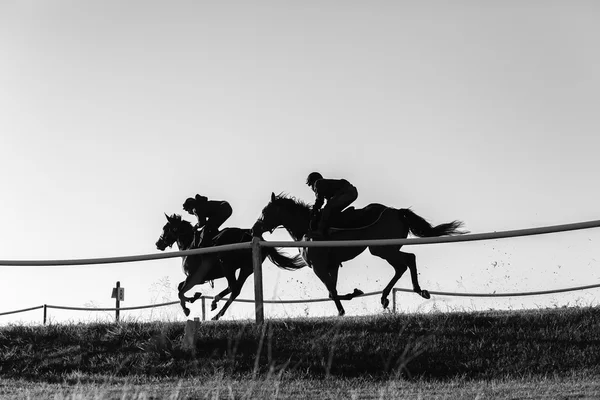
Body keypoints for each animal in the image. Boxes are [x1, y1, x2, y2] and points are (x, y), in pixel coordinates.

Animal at [156, 214, 304, 320]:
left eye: (165, 228)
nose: (158, 244)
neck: (189, 245)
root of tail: (258, 239)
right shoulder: (197, 278)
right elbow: (180, 288)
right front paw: (194, 298)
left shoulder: (195, 277)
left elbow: (180, 291)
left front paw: (188, 306)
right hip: (246, 268)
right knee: (235, 289)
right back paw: (215, 305)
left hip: (227, 265)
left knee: (233, 287)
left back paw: (216, 314)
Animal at [251, 192, 466, 318]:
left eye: (266, 212)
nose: (255, 228)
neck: (307, 229)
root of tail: (397, 211)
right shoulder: (332, 265)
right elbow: (332, 290)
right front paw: (353, 294)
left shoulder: (318, 266)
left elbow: (331, 291)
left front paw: (342, 309)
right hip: (386, 248)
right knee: (407, 260)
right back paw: (403, 293)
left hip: (382, 249)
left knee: (405, 262)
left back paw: (400, 294)